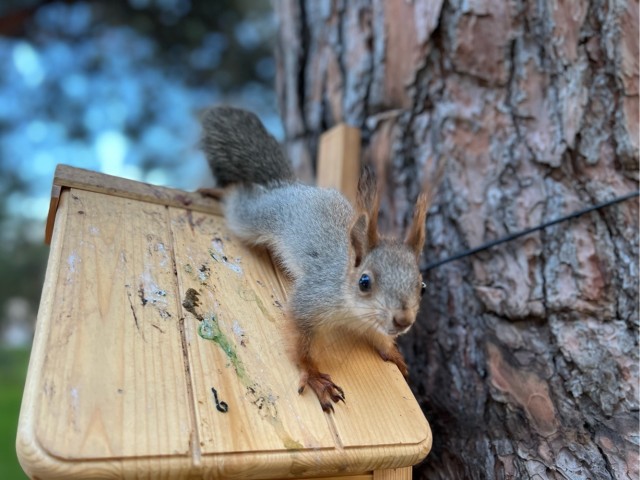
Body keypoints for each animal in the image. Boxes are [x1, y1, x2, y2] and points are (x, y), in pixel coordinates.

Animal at [200, 106, 436, 412]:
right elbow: (299, 341)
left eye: (423, 287)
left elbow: (379, 338)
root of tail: (290, 187)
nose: (403, 320)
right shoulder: (311, 299)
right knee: (239, 200)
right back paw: (218, 191)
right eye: (364, 282)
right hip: (255, 217)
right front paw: (313, 375)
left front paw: (392, 351)